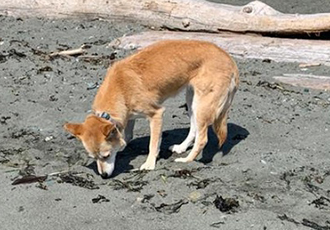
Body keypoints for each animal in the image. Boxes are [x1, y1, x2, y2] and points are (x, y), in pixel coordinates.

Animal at [64, 40, 238, 178]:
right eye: (93, 157)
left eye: (106, 155)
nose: (104, 176)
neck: (120, 88)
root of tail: (230, 60)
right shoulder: (128, 117)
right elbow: (127, 136)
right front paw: (123, 145)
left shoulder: (156, 115)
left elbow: (153, 144)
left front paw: (149, 164)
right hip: (192, 101)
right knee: (194, 129)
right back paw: (181, 148)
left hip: (201, 105)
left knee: (202, 139)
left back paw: (187, 159)